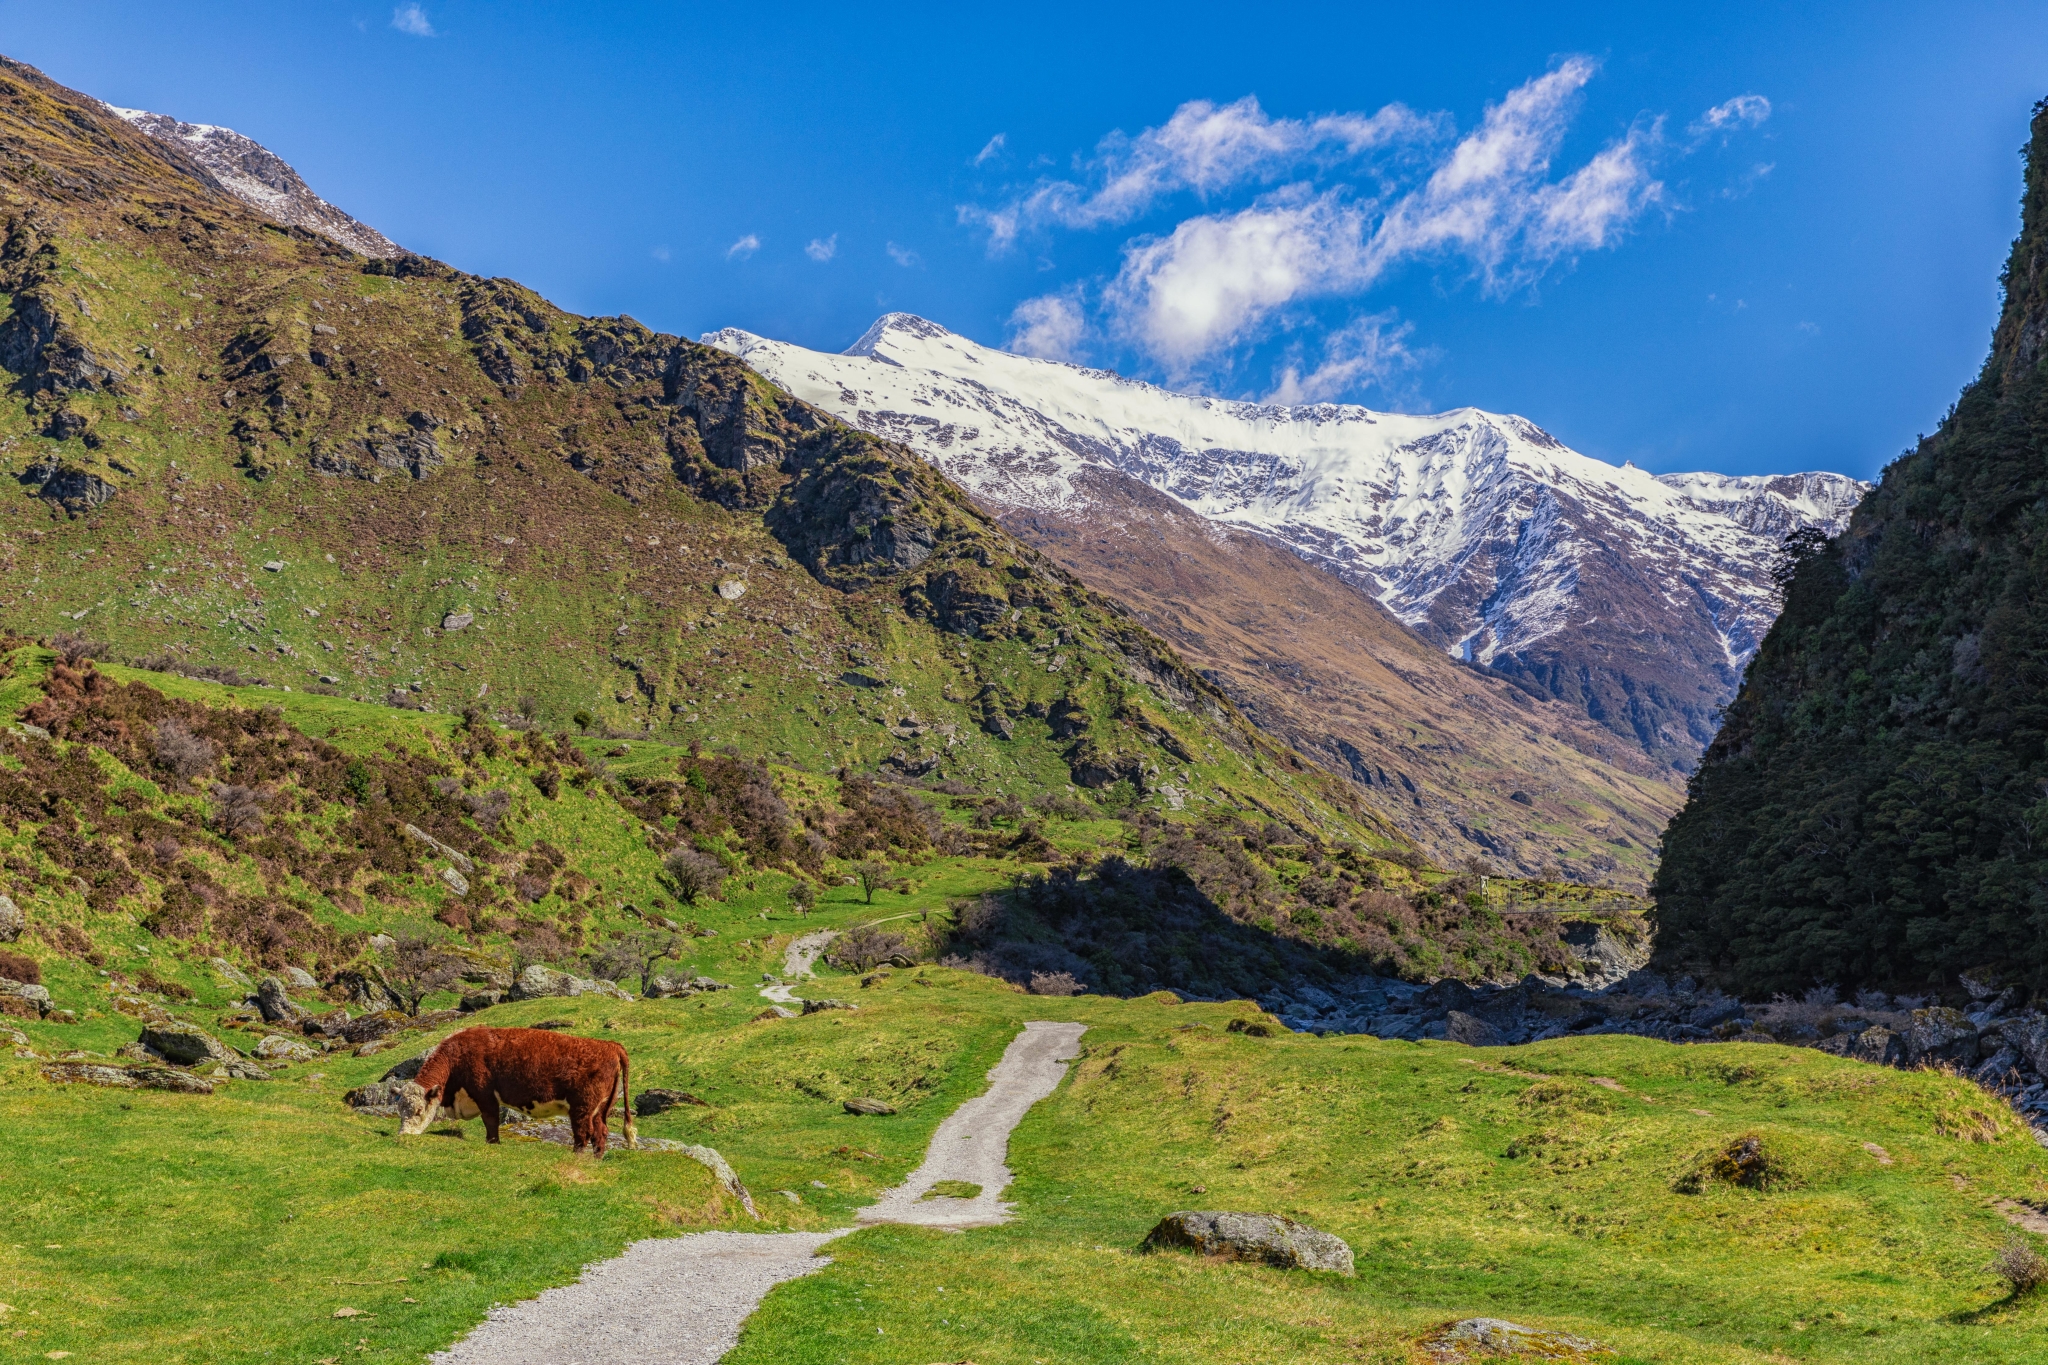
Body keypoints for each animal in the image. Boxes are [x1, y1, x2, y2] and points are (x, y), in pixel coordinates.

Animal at [391, 1023, 630, 1154]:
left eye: (419, 1111)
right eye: (400, 1110)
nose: (403, 1135)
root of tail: (610, 1045)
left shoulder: (485, 1095)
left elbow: (490, 1122)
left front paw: (493, 1143)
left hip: (582, 1107)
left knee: (583, 1134)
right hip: (599, 1110)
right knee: (600, 1134)